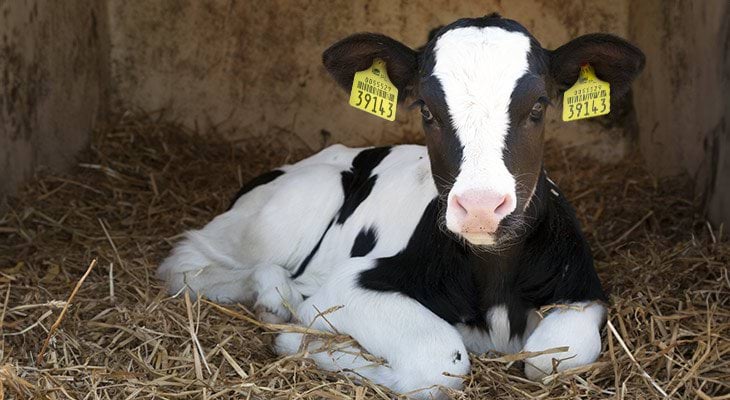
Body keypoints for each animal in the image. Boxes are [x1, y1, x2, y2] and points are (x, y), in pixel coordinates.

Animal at [156, 14, 640, 398]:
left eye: (538, 104)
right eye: (426, 108)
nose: (481, 207)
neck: (496, 284)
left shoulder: (583, 290)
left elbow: (552, 357)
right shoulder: (350, 287)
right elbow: (439, 361)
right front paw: (303, 342)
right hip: (296, 203)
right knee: (188, 265)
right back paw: (276, 299)